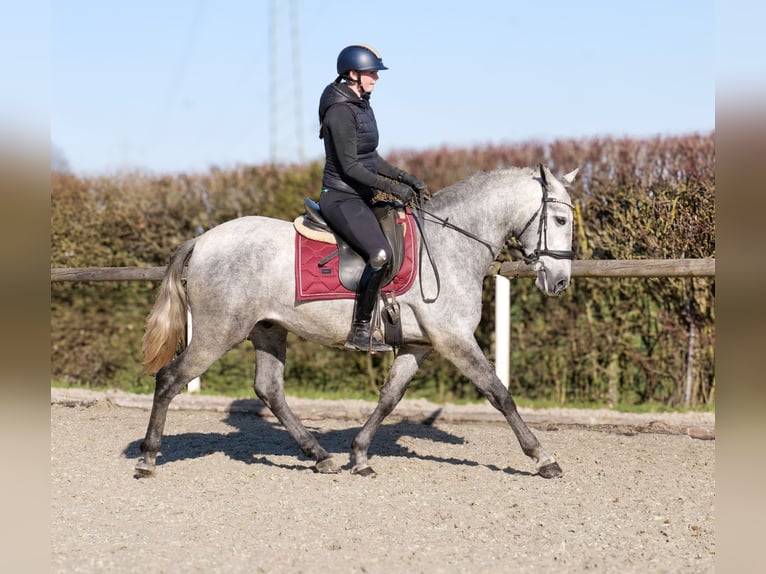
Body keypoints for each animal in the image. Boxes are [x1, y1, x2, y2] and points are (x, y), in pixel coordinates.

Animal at [136, 164, 578, 478]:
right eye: (560, 220)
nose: (559, 281)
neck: (450, 245)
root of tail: (203, 240)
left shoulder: (419, 345)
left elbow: (389, 397)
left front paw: (360, 454)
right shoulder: (454, 339)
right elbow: (498, 393)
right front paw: (543, 458)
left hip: (268, 329)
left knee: (269, 390)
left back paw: (320, 456)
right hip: (218, 332)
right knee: (170, 379)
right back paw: (148, 458)